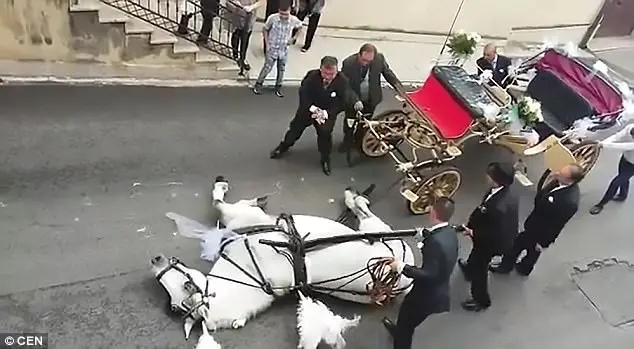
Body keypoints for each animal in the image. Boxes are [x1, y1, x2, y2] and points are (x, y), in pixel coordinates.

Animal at [149, 177, 414, 342]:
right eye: (174, 306)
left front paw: (224, 187)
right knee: (363, 210)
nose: (156, 259)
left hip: (379, 232)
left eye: (187, 284)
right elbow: (223, 204)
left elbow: (221, 204)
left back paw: (353, 197)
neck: (250, 272)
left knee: (364, 210)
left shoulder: (242, 217)